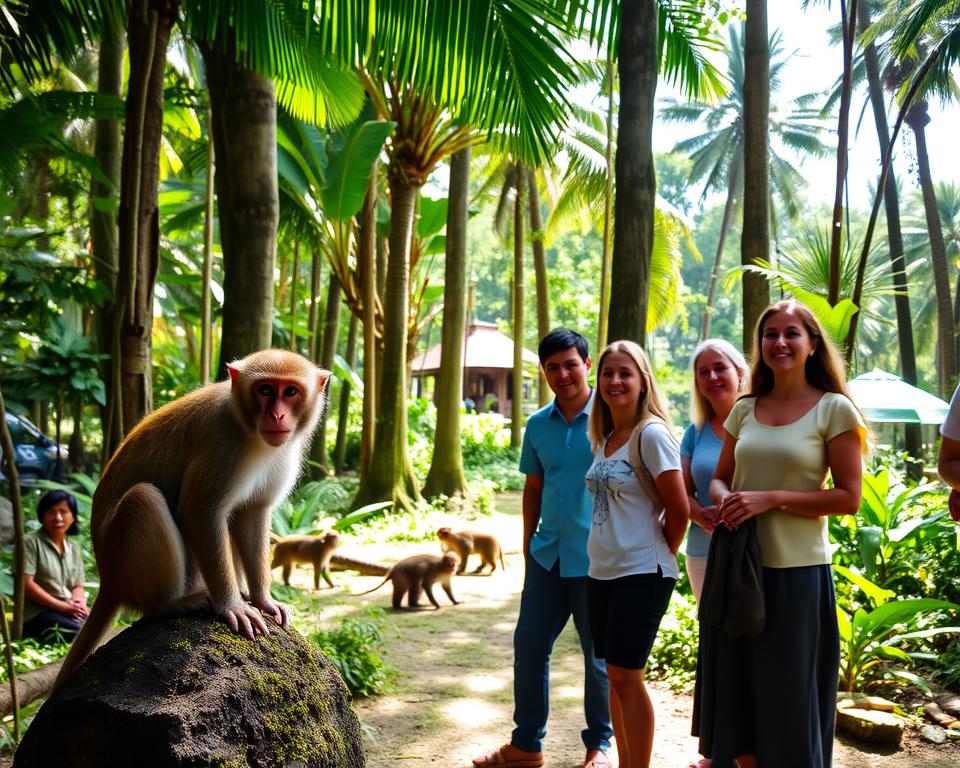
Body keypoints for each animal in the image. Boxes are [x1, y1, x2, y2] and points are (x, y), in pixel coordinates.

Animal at [53, 350, 329, 690]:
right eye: (265, 390)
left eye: (290, 391)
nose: (277, 416)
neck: (246, 428)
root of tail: (106, 580)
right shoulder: (221, 444)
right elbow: (200, 511)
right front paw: (232, 605)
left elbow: (252, 514)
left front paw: (263, 600)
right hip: (122, 563)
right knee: (144, 497)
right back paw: (167, 605)